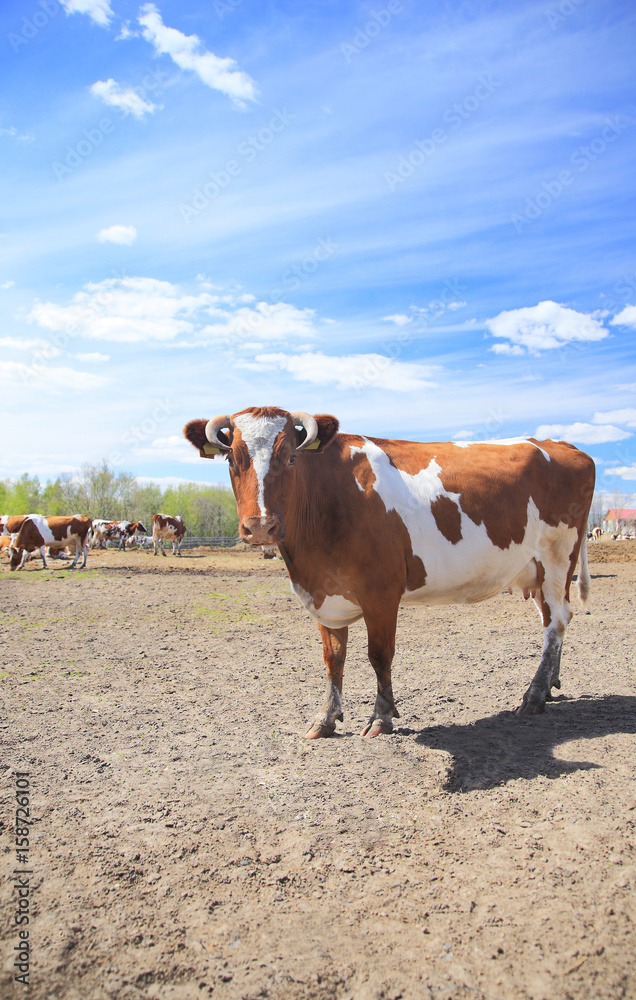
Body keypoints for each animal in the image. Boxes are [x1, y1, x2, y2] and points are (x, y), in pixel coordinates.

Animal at [184, 402, 596, 740]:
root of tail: (560, 444)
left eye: (289, 458)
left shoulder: (381, 591)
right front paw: (326, 717)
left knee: (556, 622)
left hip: (559, 555)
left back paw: (534, 695)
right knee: (555, 620)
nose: (260, 527)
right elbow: (333, 658)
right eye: (231, 461)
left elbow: (379, 654)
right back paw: (551, 684)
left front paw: (381, 716)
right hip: (536, 570)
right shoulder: (326, 593)